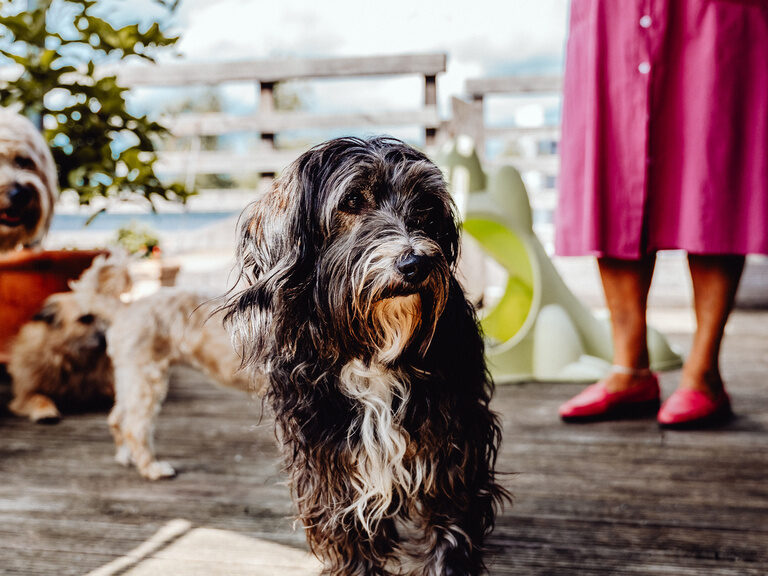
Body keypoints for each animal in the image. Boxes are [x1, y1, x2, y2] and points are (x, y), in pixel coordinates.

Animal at [224, 137, 508, 575]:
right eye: (353, 199)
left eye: (425, 205)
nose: (415, 262)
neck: (370, 353)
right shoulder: (329, 464)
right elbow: (349, 538)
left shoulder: (454, 447)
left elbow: (451, 528)